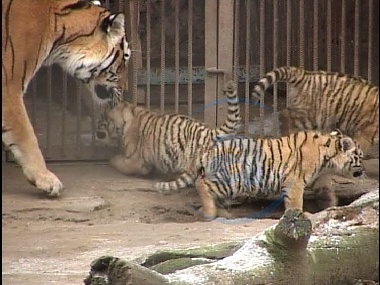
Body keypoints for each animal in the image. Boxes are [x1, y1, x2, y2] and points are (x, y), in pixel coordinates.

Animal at [194, 130, 364, 219]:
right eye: (360, 157)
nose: (363, 171)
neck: (328, 160)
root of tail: (208, 152)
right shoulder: (294, 181)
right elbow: (295, 202)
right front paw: (298, 216)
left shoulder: (319, 179)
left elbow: (327, 194)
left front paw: (332, 207)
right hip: (232, 180)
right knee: (201, 184)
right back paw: (208, 212)